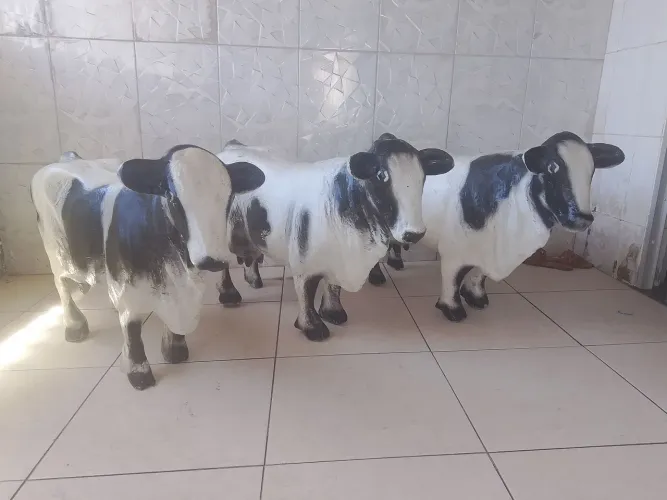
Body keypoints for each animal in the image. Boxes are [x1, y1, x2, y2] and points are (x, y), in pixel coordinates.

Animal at [31, 145, 265, 390]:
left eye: (228, 198)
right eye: (172, 198)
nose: (212, 260)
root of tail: (68, 158)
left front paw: (174, 348)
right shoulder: (127, 286)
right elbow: (132, 327)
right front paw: (138, 372)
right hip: (55, 252)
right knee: (62, 287)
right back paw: (75, 327)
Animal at [215, 134, 455, 341]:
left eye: (423, 176)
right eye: (381, 175)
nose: (414, 233)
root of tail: (231, 147)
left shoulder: (337, 258)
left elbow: (333, 287)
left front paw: (333, 312)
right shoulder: (304, 260)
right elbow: (307, 291)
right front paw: (312, 327)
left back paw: (253, 280)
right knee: (222, 266)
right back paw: (229, 295)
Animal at [366, 131, 625, 321]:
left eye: (592, 170)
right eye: (553, 167)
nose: (582, 217)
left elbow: (480, 275)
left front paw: (476, 297)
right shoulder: (455, 249)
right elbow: (453, 278)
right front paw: (453, 309)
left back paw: (396, 263)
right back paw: (378, 276)